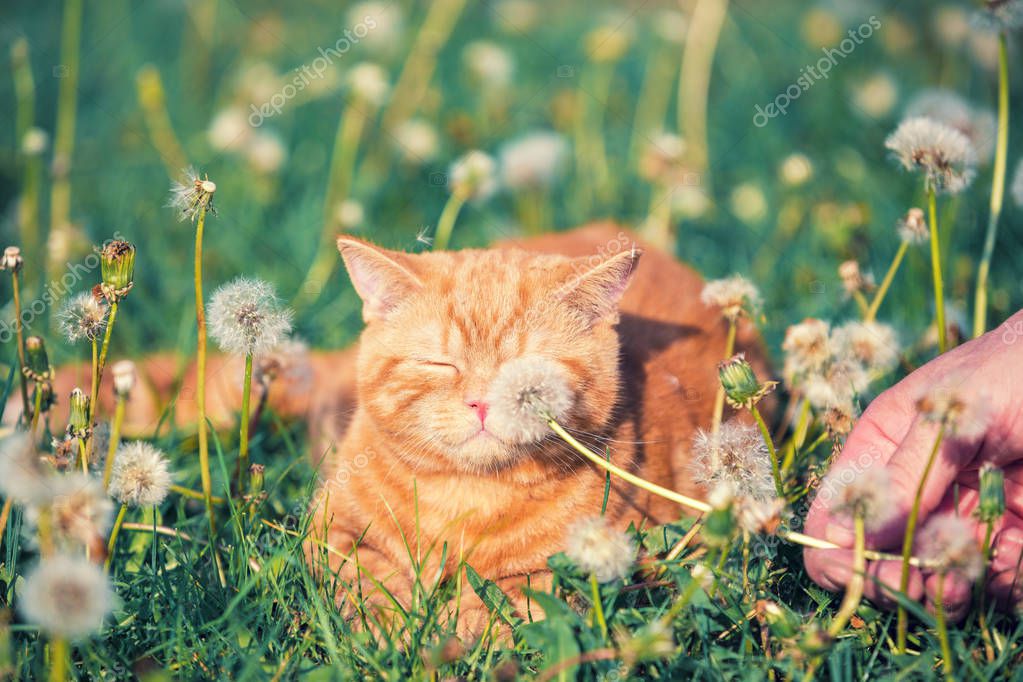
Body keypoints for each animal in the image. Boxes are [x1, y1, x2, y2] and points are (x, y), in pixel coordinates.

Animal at [49, 222, 769, 633]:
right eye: (440, 363)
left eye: (526, 375)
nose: (481, 403)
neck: (463, 497)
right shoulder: (333, 534)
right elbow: (371, 584)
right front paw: (399, 630)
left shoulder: (591, 564)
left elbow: (505, 603)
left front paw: (451, 631)